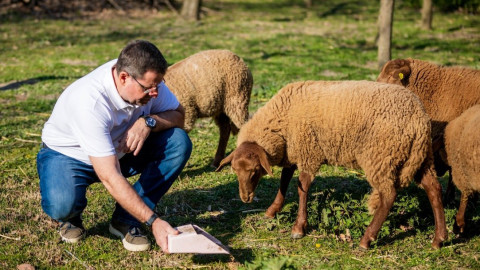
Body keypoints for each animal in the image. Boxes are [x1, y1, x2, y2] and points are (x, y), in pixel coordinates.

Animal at [216, 79, 448, 249]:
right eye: (234, 170)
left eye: (254, 170)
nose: (245, 198)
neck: (282, 119)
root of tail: (419, 118)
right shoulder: (293, 151)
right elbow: (284, 180)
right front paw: (273, 210)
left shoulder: (308, 151)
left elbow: (302, 187)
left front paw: (299, 228)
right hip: (421, 157)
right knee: (434, 189)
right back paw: (439, 239)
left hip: (381, 157)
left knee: (389, 195)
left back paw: (366, 240)